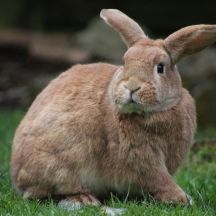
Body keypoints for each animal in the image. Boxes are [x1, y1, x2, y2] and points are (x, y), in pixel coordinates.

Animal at [11, 8, 216, 209]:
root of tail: (17, 174)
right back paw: (83, 199)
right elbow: (159, 179)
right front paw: (181, 198)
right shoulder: (141, 158)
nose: (132, 87)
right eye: (125, 62)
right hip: (61, 166)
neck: (154, 112)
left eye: (160, 67)